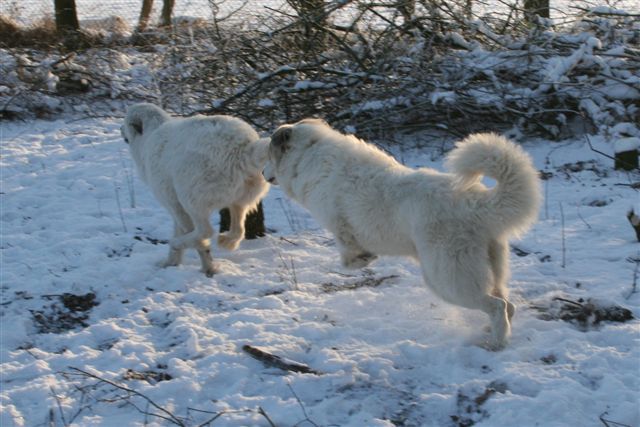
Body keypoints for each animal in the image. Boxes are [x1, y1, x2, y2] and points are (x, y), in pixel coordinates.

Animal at [123, 103, 270, 278]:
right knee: (238, 230)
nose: (120, 129)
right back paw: (226, 241)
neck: (150, 134)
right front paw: (171, 262)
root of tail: (245, 148)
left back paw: (180, 243)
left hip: (190, 198)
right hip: (239, 201)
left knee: (206, 231)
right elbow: (180, 230)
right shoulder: (177, 209)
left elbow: (192, 237)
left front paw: (207, 266)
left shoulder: (174, 204)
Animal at [264, 118, 540, 350]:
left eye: (268, 154)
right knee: (507, 303)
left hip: (447, 280)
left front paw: (362, 260)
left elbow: (347, 253)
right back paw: (493, 331)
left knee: (498, 305)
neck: (308, 155)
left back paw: (497, 343)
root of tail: (474, 202)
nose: (264, 174)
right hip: (488, 267)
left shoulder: (339, 224)